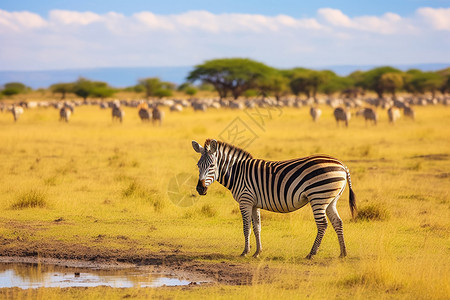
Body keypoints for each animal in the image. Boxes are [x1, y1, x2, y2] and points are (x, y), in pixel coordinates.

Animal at [192, 139, 356, 258]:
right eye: (198, 165)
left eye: (212, 165)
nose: (200, 189)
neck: (237, 172)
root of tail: (342, 165)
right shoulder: (254, 203)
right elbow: (257, 227)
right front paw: (257, 252)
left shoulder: (245, 201)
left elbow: (246, 227)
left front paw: (245, 252)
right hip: (330, 199)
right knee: (337, 222)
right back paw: (343, 253)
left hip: (318, 197)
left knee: (323, 224)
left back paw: (311, 253)